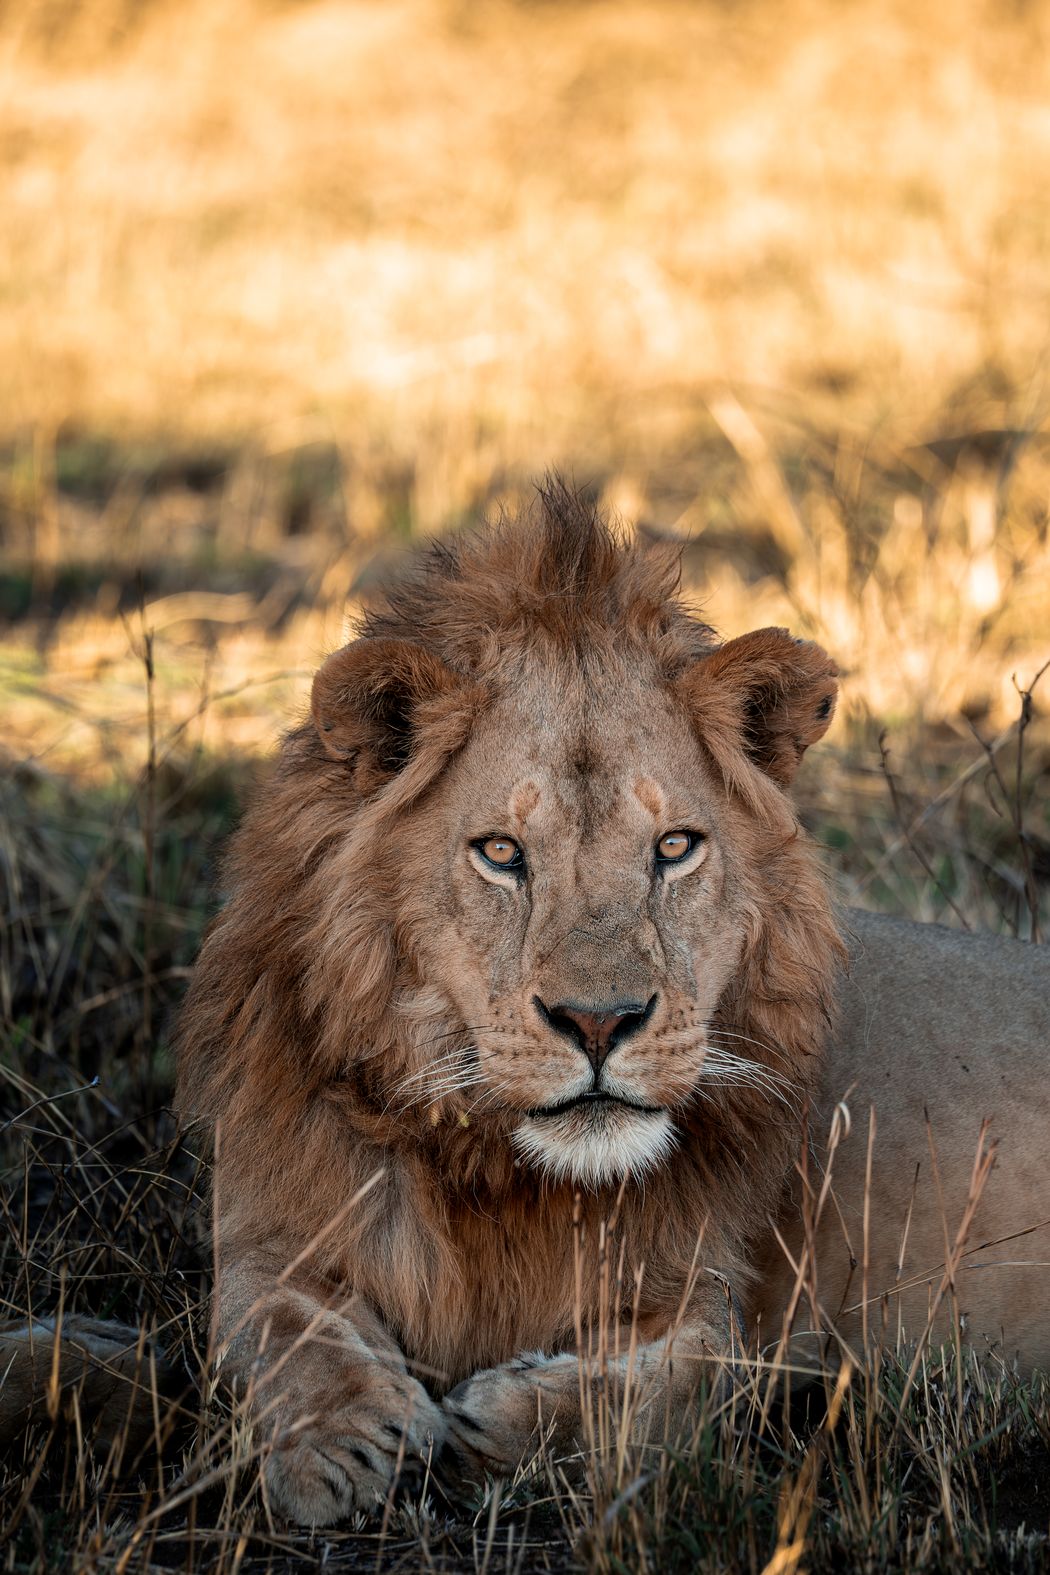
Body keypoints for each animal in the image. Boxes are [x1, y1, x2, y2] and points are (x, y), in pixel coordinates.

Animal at [5, 481, 1047, 1524]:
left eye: (674, 847)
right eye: (502, 852)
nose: (600, 1022)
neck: (499, 1171)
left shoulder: (720, 1291)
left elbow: (681, 1380)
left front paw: (498, 1422)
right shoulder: (274, 1221)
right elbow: (275, 1321)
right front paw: (336, 1441)